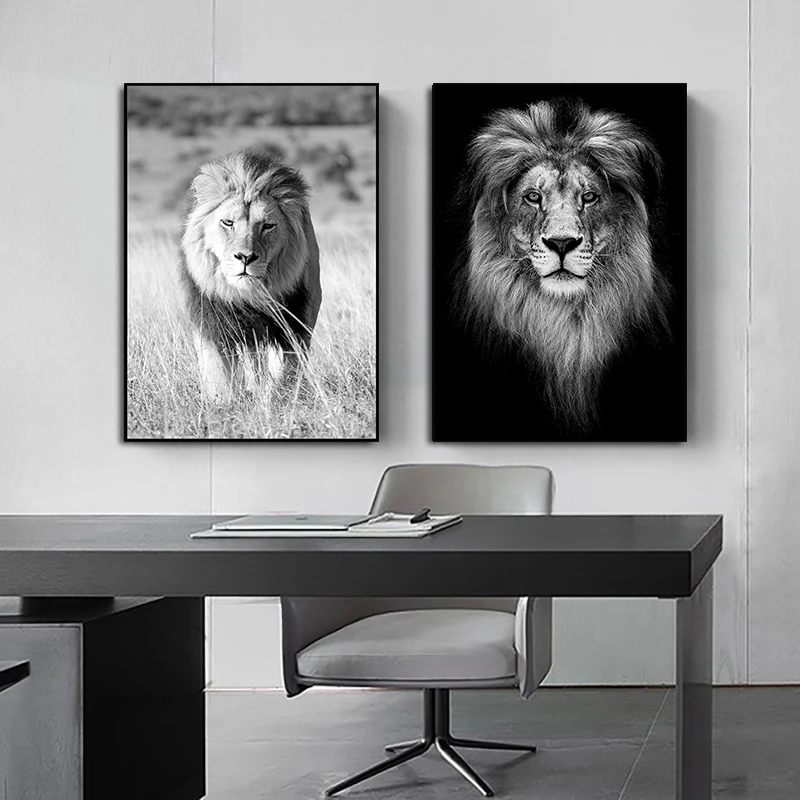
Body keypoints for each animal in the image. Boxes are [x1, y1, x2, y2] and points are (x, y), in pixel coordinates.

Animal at [178, 150, 321, 400]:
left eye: (268, 226)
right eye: (228, 222)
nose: (245, 257)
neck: (247, 294)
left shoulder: (294, 320)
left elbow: (285, 370)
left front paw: (279, 399)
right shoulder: (212, 320)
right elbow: (218, 375)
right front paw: (222, 404)